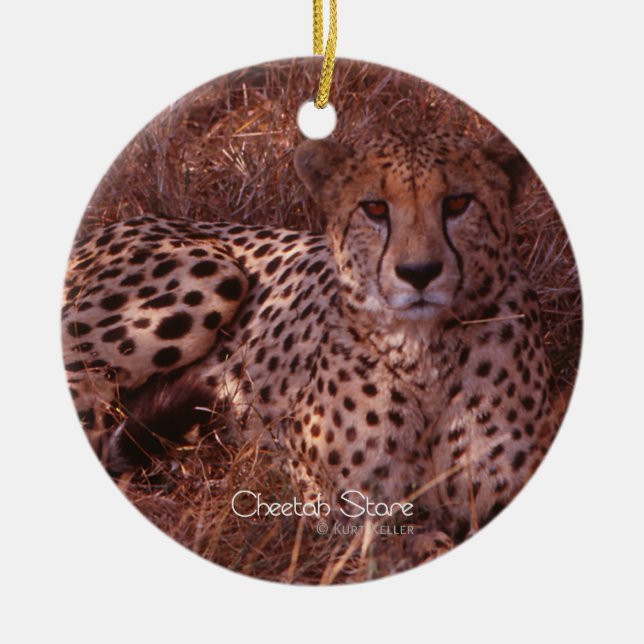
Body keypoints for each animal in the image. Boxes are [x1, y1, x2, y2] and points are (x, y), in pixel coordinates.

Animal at [62, 129, 558, 547]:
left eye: (457, 203)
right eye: (374, 208)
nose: (418, 273)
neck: (425, 354)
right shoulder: (335, 502)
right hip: (210, 275)